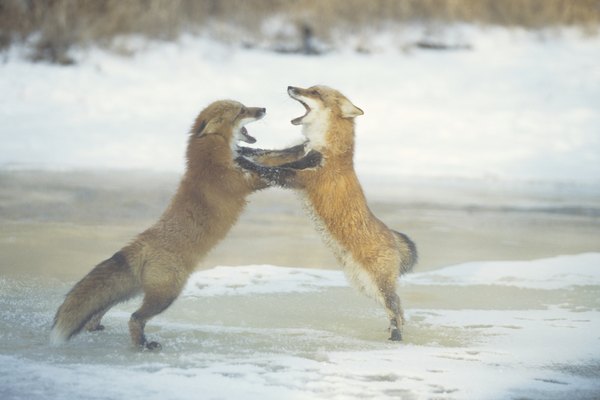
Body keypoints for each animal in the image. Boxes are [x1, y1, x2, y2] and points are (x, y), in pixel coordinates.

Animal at [237, 85, 414, 340]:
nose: (290, 87)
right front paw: (241, 148)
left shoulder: (303, 176)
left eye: (315, 93)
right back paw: (393, 330)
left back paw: (397, 336)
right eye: (310, 88)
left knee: (396, 305)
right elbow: (264, 153)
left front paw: (244, 161)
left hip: (375, 284)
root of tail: (390, 235)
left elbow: (270, 169)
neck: (324, 145)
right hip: (362, 283)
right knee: (398, 307)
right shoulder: (295, 152)